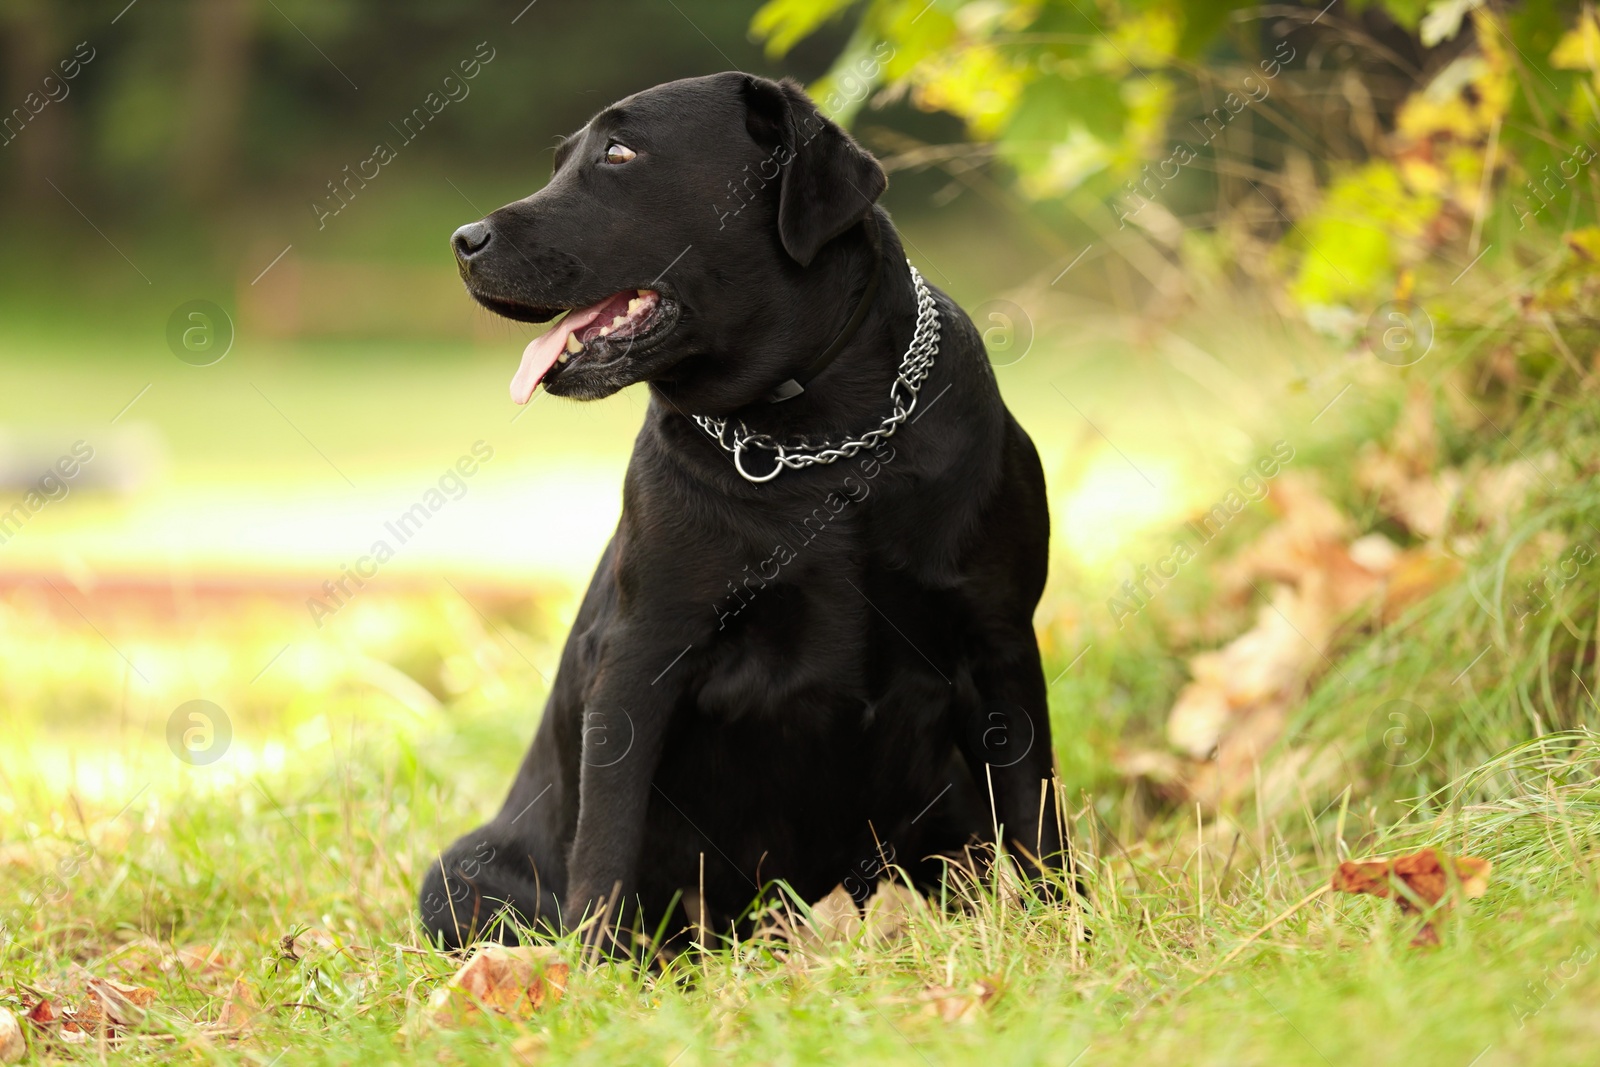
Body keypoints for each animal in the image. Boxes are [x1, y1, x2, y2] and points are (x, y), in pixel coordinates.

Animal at [422, 68, 1062, 953]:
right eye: (561, 162)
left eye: (619, 153)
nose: (463, 239)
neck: (821, 441)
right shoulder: (642, 654)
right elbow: (606, 846)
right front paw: (594, 969)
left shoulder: (998, 638)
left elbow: (1037, 817)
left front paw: (1068, 936)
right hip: (456, 875)